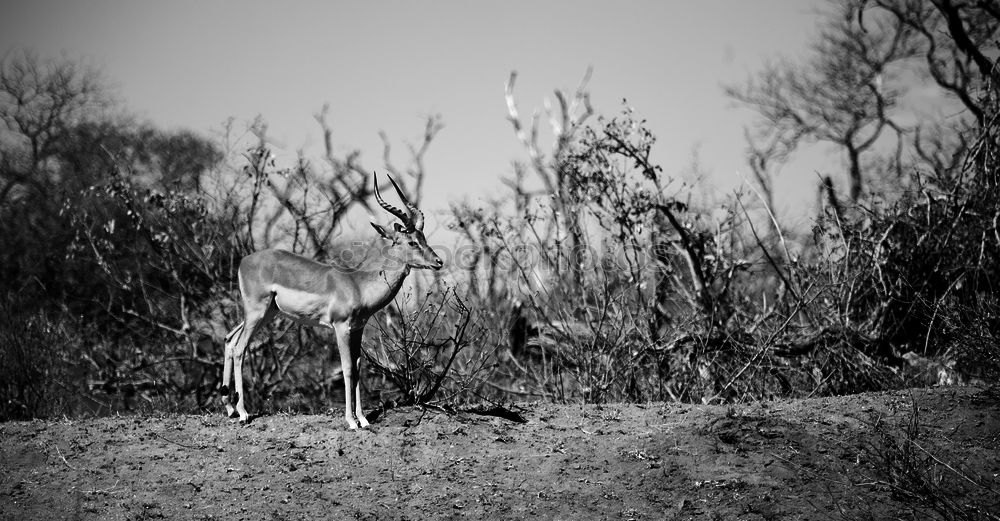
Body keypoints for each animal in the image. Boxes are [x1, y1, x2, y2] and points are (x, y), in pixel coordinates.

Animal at [221, 173, 444, 428]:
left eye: (423, 237)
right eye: (411, 242)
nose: (438, 262)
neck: (359, 285)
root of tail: (244, 260)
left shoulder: (357, 329)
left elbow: (358, 367)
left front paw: (363, 419)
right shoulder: (341, 327)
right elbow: (347, 368)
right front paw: (351, 421)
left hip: (267, 313)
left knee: (229, 339)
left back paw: (229, 408)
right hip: (256, 312)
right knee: (240, 348)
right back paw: (243, 412)